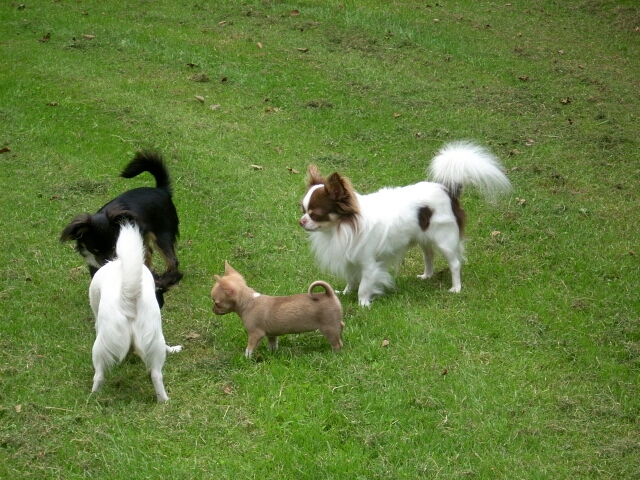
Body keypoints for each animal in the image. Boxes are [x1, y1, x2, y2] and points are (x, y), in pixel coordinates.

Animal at [89, 223, 182, 404]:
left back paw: (92, 396)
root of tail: (128, 298)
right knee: (156, 374)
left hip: (100, 348)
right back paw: (164, 399)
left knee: (99, 375)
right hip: (155, 340)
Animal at [211, 262, 344, 356]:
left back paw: (334, 354)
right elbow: (273, 345)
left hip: (328, 328)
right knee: (341, 324)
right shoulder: (271, 335)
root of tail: (329, 294)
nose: (213, 309)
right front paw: (272, 355)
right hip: (334, 322)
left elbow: (249, 349)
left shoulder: (255, 334)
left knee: (337, 344)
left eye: (216, 303)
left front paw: (246, 358)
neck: (249, 301)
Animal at [298, 142, 512, 306]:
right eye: (303, 210)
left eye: (315, 215)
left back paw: (456, 287)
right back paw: (427, 276)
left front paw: (363, 304)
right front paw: (344, 293)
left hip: (445, 240)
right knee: (429, 256)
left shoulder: (369, 264)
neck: (341, 228)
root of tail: (447, 190)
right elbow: (351, 280)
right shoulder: (349, 258)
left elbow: (364, 286)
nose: (301, 221)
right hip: (424, 237)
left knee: (455, 263)